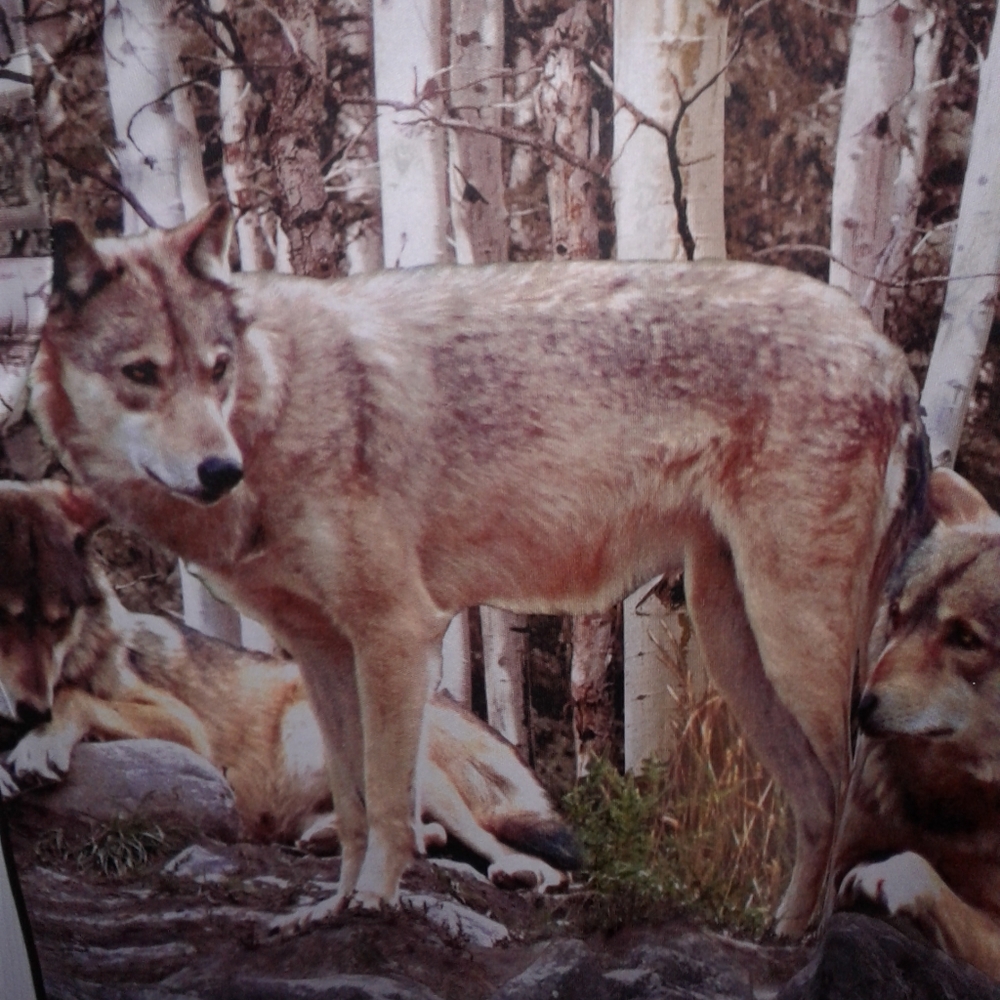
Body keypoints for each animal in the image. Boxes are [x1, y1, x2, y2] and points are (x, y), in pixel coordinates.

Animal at [0, 479, 578, 889]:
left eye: (56, 621)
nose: (29, 710)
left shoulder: (185, 730)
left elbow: (74, 695)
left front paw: (37, 749)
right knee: (413, 834)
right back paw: (327, 837)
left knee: (537, 860)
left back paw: (521, 873)